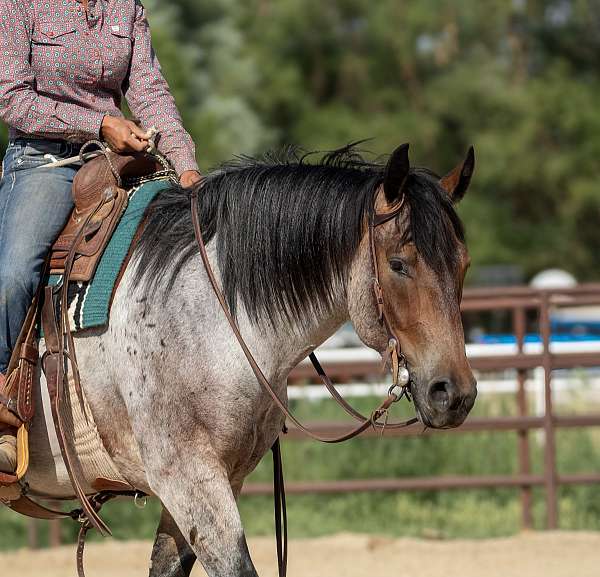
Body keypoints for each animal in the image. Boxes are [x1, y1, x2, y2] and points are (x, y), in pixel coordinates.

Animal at [23, 141, 478, 576]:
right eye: (398, 264)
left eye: (464, 265)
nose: (454, 393)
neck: (207, 313)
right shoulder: (188, 478)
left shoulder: (218, 481)